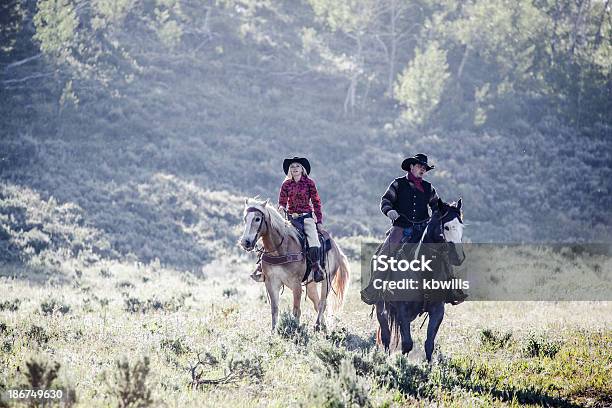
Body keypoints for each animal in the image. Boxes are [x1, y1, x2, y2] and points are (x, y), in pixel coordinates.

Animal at [241, 198, 352, 332]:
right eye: (245, 218)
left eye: (257, 219)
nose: (245, 242)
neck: (280, 249)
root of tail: (336, 249)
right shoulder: (271, 282)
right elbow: (274, 309)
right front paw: (273, 332)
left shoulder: (296, 284)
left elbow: (296, 310)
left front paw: (295, 330)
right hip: (311, 284)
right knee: (316, 302)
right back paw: (323, 326)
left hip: (327, 280)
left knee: (322, 303)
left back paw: (317, 326)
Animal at [376, 199, 466, 362]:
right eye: (446, 227)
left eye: (461, 227)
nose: (459, 257)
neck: (424, 272)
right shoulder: (402, 310)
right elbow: (407, 344)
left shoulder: (437, 310)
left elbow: (429, 343)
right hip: (381, 307)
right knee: (386, 335)